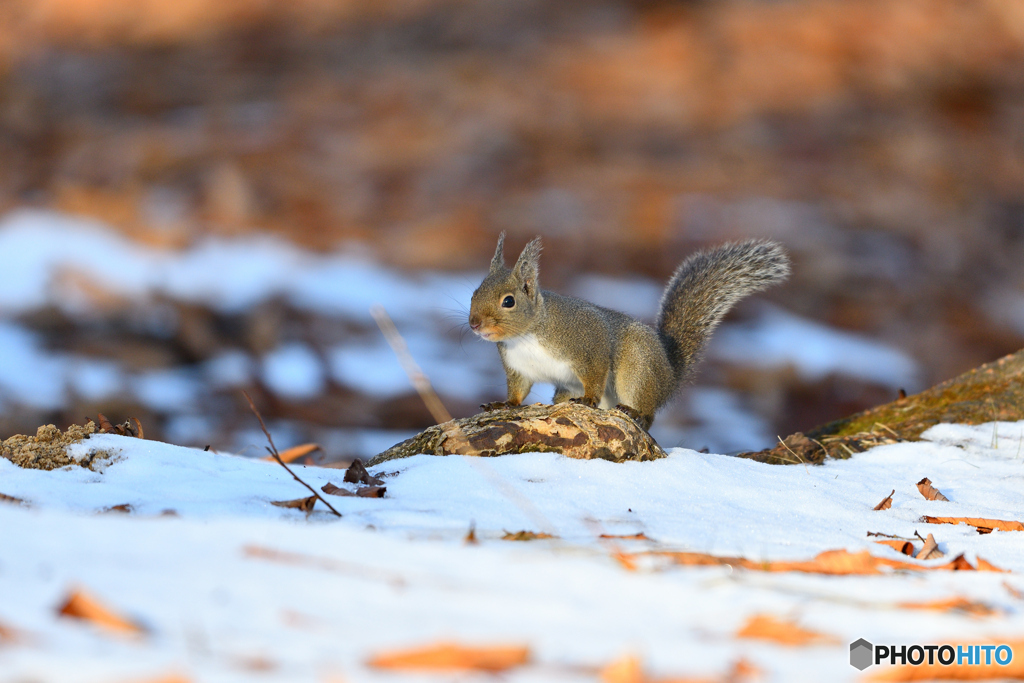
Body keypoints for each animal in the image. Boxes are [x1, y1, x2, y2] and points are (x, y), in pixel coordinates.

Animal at [468, 233, 786, 428]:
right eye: (474, 293)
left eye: (508, 301)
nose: (474, 324)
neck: (526, 335)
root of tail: (669, 376)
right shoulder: (517, 367)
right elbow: (518, 391)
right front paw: (504, 405)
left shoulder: (587, 340)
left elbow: (596, 372)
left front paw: (588, 399)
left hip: (638, 368)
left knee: (648, 414)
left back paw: (633, 411)